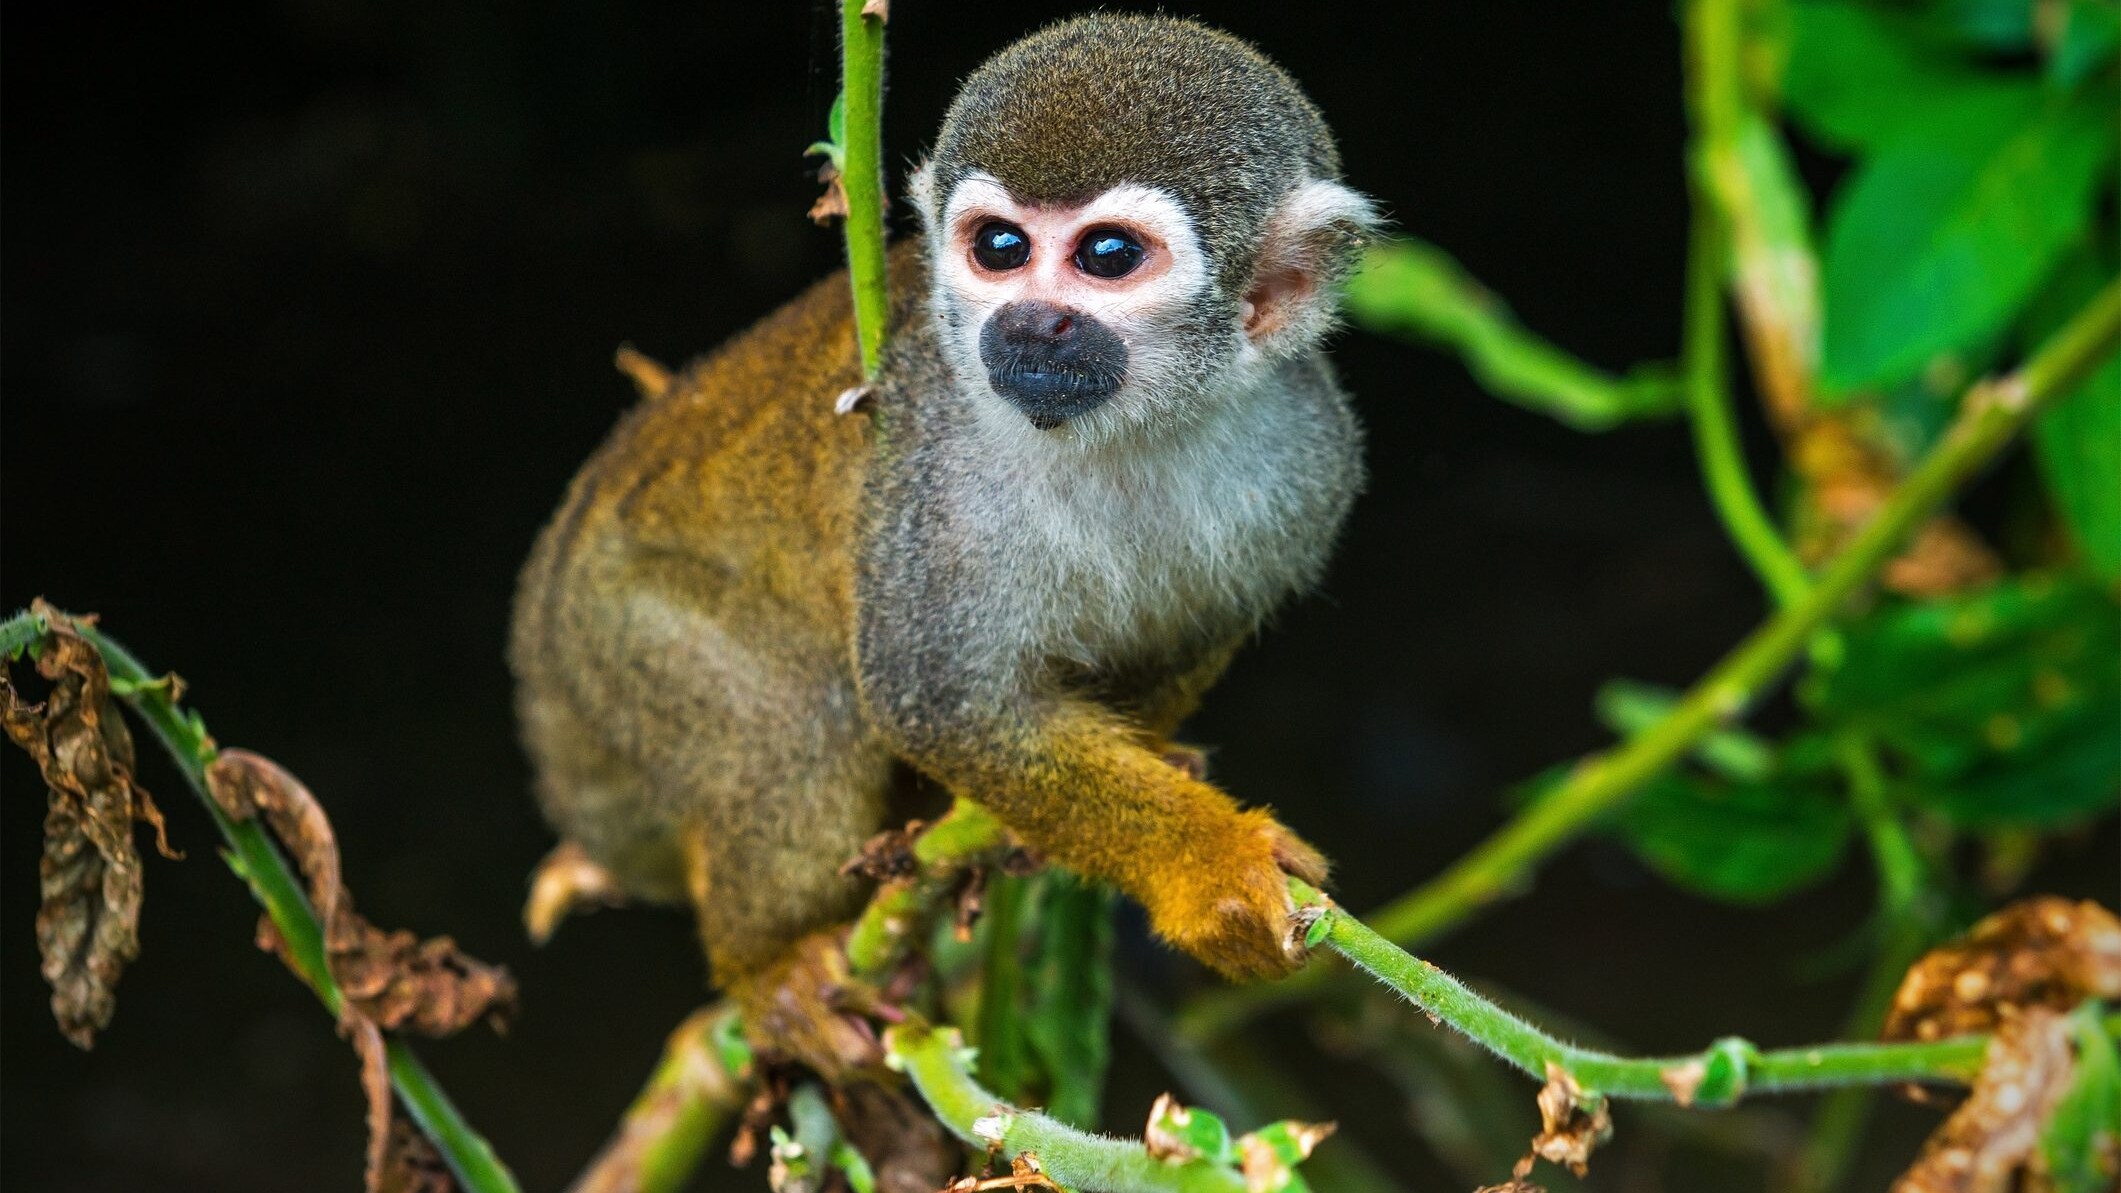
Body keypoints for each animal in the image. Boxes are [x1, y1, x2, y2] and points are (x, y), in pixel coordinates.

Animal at [510, 13, 1375, 1074]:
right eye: (999, 247)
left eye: (1107, 256)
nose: (1032, 321)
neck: (1126, 430)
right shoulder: (938, 467)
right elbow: (938, 698)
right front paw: (1203, 867)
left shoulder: (1310, 455)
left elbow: (1191, 634)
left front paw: (1130, 779)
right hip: (616, 634)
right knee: (789, 722)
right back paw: (768, 966)